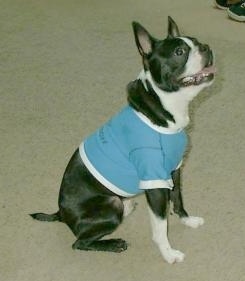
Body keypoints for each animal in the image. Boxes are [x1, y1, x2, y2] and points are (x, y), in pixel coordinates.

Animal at [30, 17, 214, 262]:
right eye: (180, 52)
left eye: (197, 41)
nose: (206, 47)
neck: (167, 106)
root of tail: (61, 213)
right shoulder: (155, 182)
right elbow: (160, 226)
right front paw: (168, 253)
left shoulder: (174, 169)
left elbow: (178, 198)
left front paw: (187, 220)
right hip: (111, 204)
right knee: (79, 242)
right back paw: (114, 243)